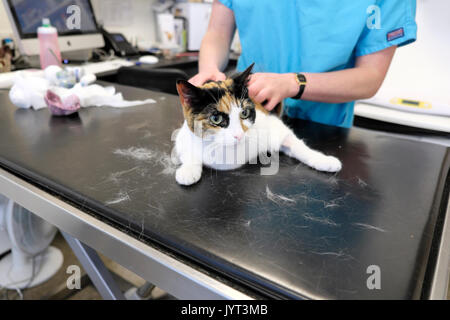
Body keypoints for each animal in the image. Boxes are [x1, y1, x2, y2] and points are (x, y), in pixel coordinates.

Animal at [174, 63, 342, 186]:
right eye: (216, 118)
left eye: (244, 113)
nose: (239, 135)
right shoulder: (182, 138)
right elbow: (187, 152)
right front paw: (188, 171)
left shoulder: (272, 126)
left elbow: (297, 145)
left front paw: (325, 160)